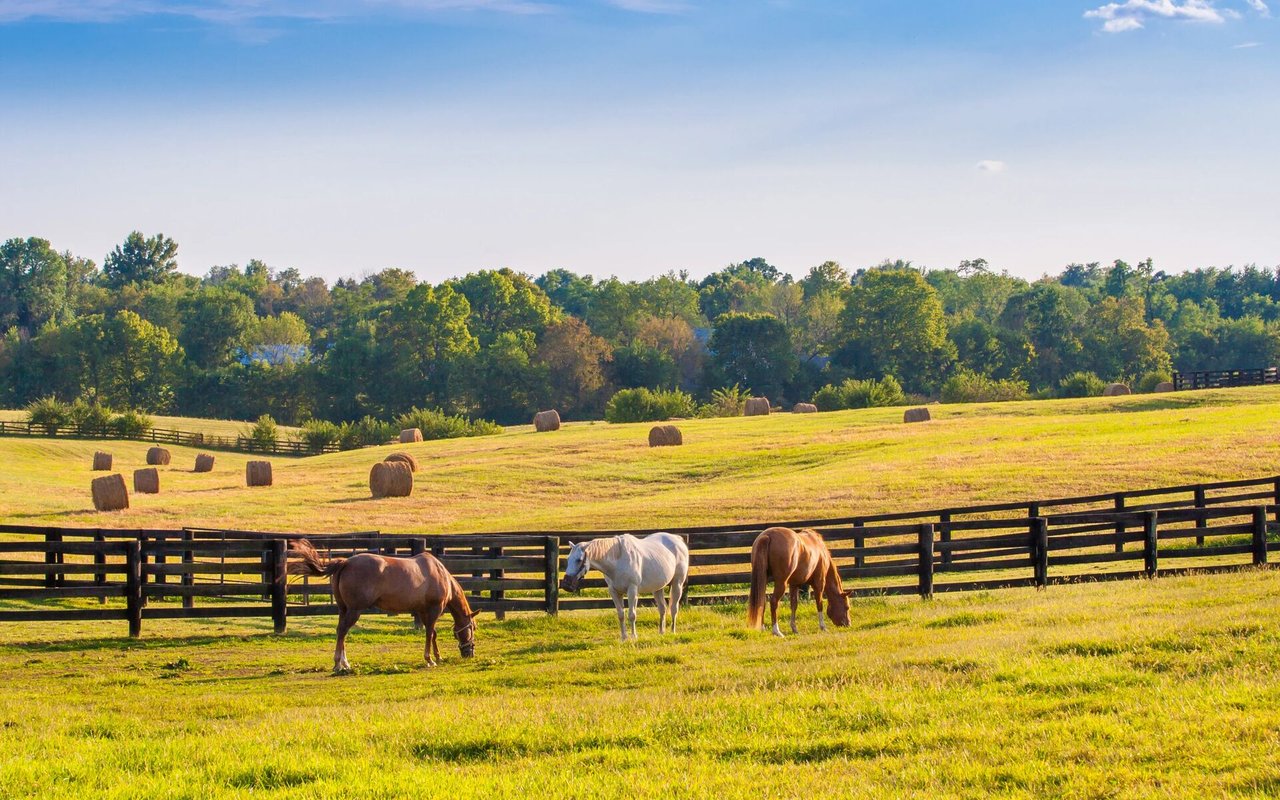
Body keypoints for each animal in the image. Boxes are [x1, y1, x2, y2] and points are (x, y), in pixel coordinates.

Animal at [288, 539, 478, 671]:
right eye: (473, 628)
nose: (469, 653)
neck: (440, 575)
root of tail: (345, 563)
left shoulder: (423, 612)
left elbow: (433, 634)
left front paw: (438, 657)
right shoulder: (433, 610)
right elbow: (430, 634)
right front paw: (430, 659)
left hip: (344, 609)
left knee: (340, 631)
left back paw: (345, 662)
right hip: (354, 611)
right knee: (342, 631)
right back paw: (338, 664)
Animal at [559, 532, 689, 642]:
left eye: (579, 560)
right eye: (568, 559)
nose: (566, 584)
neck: (618, 559)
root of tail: (678, 539)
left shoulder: (632, 591)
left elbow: (632, 615)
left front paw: (634, 636)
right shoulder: (614, 592)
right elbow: (621, 615)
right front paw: (624, 637)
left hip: (677, 584)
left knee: (674, 608)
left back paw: (672, 631)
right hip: (657, 588)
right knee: (662, 609)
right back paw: (661, 632)